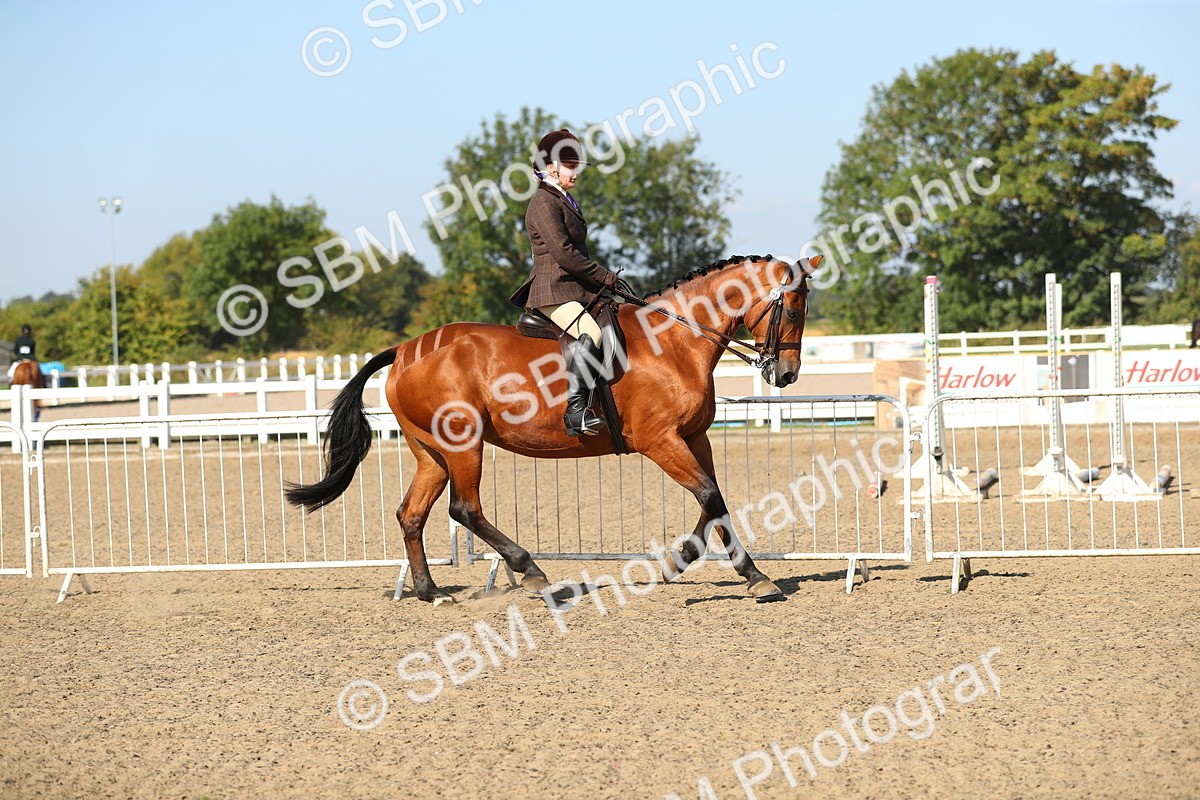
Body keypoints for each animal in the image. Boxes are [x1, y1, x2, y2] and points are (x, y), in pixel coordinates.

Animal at [286, 254, 817, 603]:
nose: (787, 375)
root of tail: (403, 350)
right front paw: (732, 572)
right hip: (463, 444)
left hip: (430, 452)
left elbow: (715, 501)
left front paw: (702, 565)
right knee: (464, 509)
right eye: (792, 310)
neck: (674, 342)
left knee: (411, 514)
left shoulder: (694, 438)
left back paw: (430, 592)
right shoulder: (660, 441)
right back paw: (531, 571)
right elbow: (708, 495)